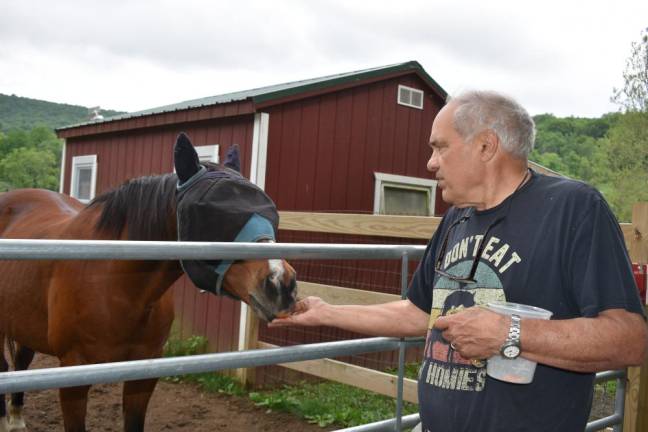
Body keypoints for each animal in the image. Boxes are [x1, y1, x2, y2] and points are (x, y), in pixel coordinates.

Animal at [0, 132, 298, 432]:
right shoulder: (74, 373)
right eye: (213, 216)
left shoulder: (143, 373)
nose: (282, 285)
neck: (115, 286)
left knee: (22, 359)